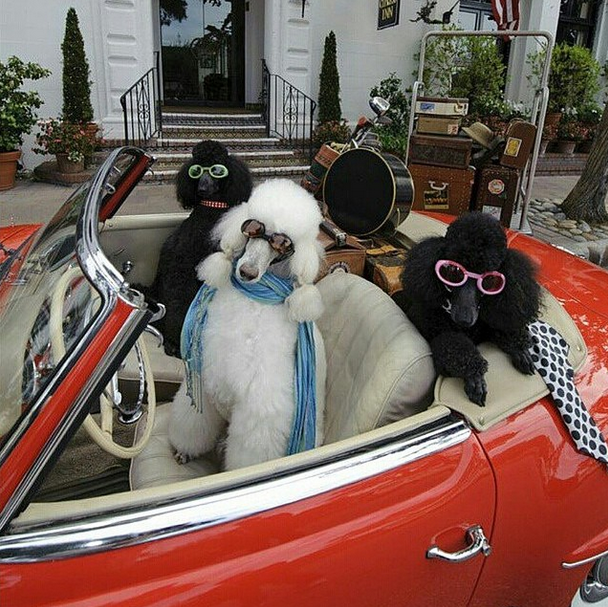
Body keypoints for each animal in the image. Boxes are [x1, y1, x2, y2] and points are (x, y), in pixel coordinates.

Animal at [169, 179, 326, 471]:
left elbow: (251, 451)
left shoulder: (261, 408)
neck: (253, 301)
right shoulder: (204, 374)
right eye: (253, 229)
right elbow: (193, 419)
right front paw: (185, 449)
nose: (247, 272)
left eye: (282, 245)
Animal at [394, 212, 541, 406]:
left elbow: (503, 328)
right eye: (453, 271)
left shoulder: (490, 321)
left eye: (490, 280)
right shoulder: (439, 333)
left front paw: (521, 351)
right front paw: (475, 376)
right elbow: (456, 347)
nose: (464, 320)